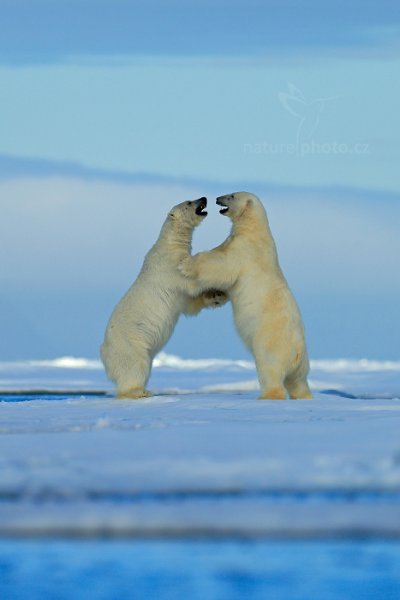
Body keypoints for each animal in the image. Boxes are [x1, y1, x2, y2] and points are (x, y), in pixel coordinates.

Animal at [100, 197, 227, 400]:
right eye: (189, 202)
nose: (204, 198)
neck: (170, 244)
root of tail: (103, 353)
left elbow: (189, 304)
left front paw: (217, 296)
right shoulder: (169, 266)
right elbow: (190, 283)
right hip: (130, 345)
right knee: (135, 366)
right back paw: (140, 391)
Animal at [180, 191, 314, 398]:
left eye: (232, 196)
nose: (217, 198)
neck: (254, 229)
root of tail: (297, 351)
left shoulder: (245, 251)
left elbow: (221, 265)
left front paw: (186, 264)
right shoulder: (234, 241)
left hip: (271, 344)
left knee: (269, 369)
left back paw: (266, 396)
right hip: (302, 365)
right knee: (298, 382)